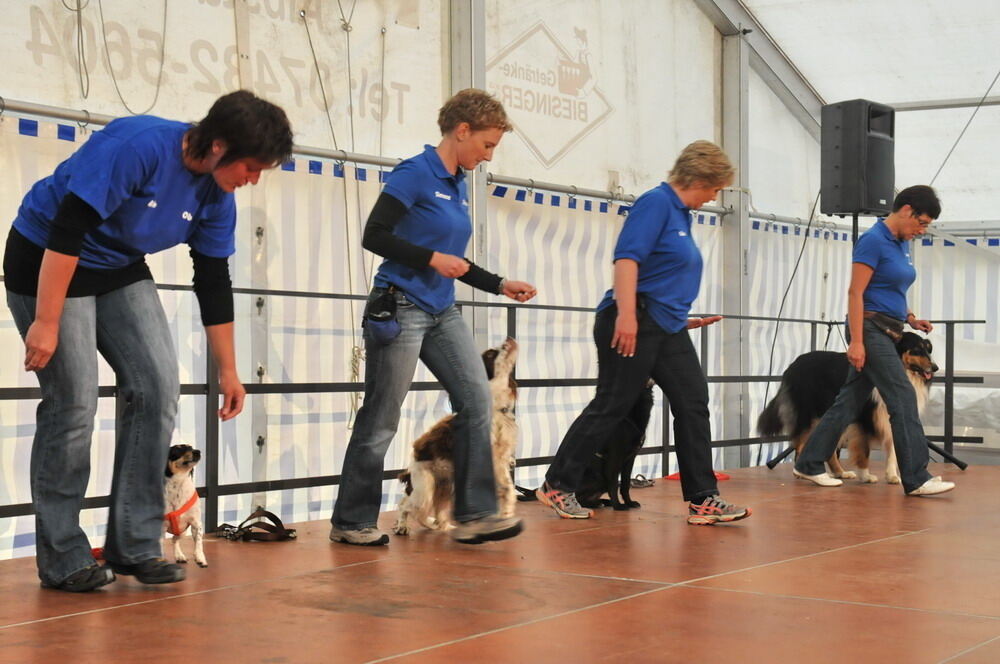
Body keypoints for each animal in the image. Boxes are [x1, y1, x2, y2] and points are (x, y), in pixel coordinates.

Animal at [756, 332, 936, 482]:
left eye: (928, 350)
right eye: (916, 350)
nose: (935, 368)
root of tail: (792, 365)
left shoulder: (889, 414)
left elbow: (893, 449)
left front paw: (892, 476)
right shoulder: (863, 417)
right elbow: (864, 450)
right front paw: (866, 475)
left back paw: (840, 473)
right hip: (811, 414)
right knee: (801, 443)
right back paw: (801, 473)